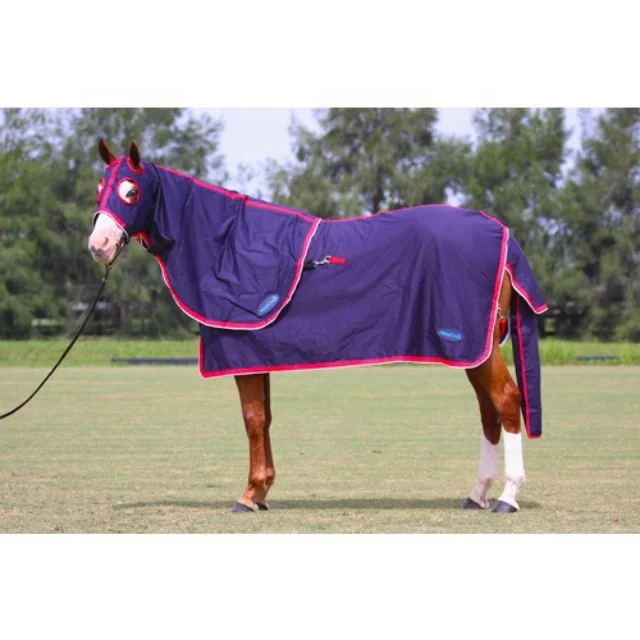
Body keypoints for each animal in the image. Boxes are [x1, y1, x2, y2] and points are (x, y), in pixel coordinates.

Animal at [88, 139, 548, 514]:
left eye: (131, 192)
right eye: (99, 189)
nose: (98, 246)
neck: (228, 246)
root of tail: (502, 231)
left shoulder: (240, 353)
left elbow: (252, 418)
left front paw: (248, 496)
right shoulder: (256, 356)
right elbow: (265, 419)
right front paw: (262, 492)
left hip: (476, 347)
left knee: (507, 401)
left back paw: (507, 497)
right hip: (475, 349)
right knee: (489, 412)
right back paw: (477, 494)